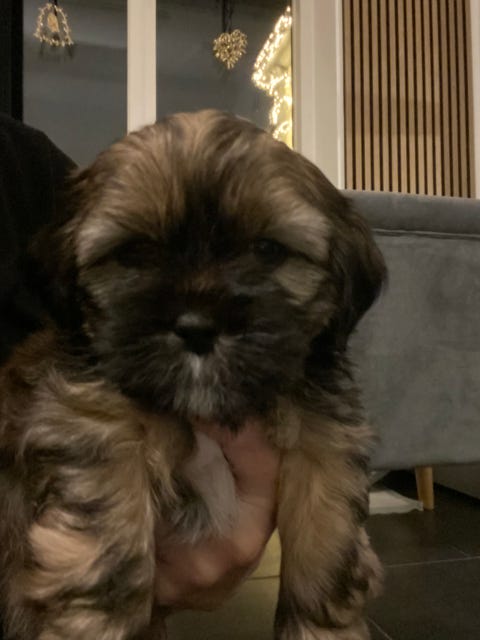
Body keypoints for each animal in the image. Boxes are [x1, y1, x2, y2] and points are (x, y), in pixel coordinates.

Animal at [0, 110, 385, 639]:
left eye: (268, 250)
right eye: (134, 252)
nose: (198, 326)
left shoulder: (324, 435)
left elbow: (326, 542)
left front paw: (323, 627)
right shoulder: (86, 420)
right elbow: (108, 539)